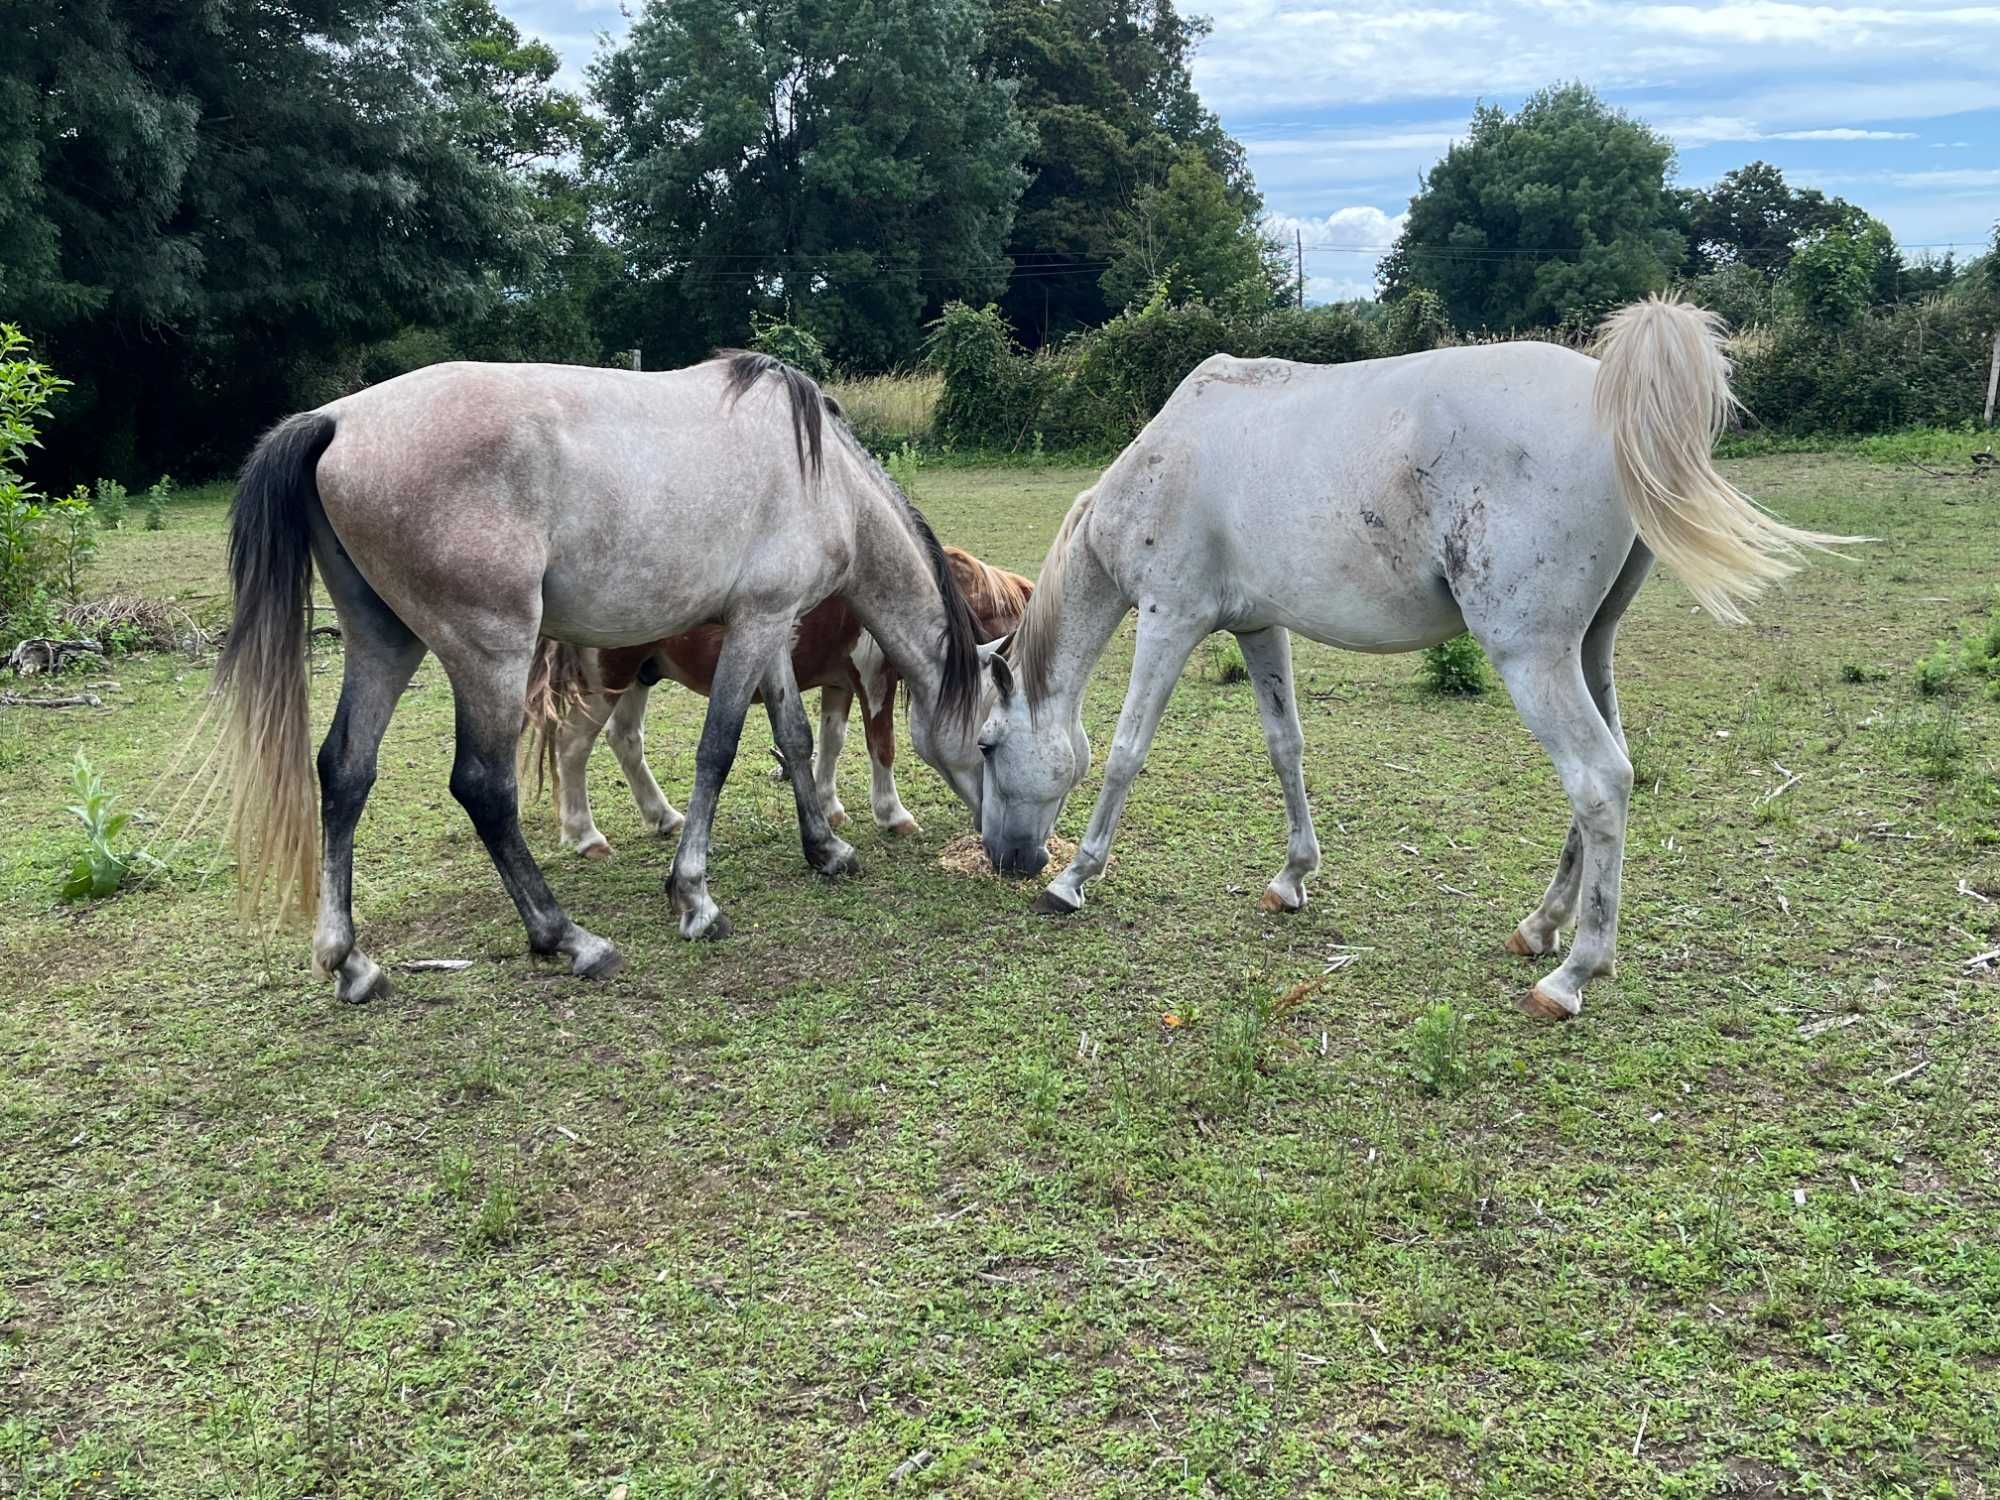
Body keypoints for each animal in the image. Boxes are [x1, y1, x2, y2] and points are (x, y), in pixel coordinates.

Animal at [532, 548, 1032, 856]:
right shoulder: (873, 681)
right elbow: (881, 746)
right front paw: (893, 815)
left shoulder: (839, 685)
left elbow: (831, 743)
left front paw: (830, 807)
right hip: (608, 681)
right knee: (573, 747)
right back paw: (585, 836)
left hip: (639, 676)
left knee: (626, 741)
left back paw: (664, 817)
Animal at [972, 294, 1856, 1024]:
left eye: (986, 744)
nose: (1006, 860)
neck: (1162, 464)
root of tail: (1608, 398)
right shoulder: (1259, 629)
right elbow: (1285, 746)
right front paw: (1292, 877)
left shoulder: (1168, 619)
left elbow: (1126, 752)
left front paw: (1073, 880)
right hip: (1588, 648)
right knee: (1611, 772)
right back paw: (1540, 926)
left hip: (1531, 656)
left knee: (1599, 781)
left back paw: (1572, 973)